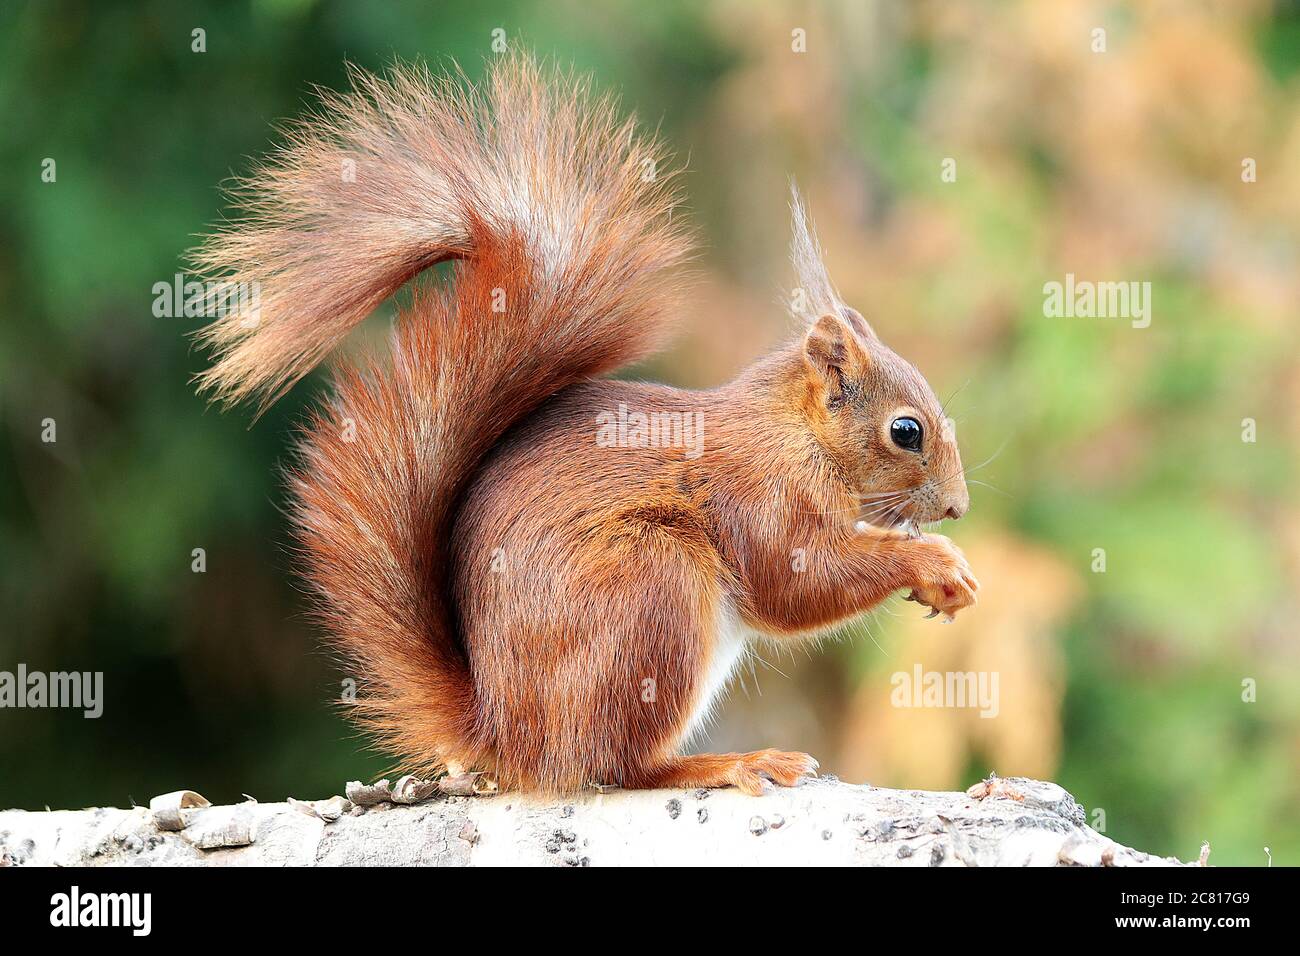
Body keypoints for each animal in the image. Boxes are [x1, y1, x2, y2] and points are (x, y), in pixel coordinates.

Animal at [192, 55, 977, 796]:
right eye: (907, 432)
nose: (957, 508)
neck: (795, 434)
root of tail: (504, 734)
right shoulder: (759, 493)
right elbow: (796, 581)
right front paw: (931, 562)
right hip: (650, 589)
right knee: (616, 763)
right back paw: (725, 763)